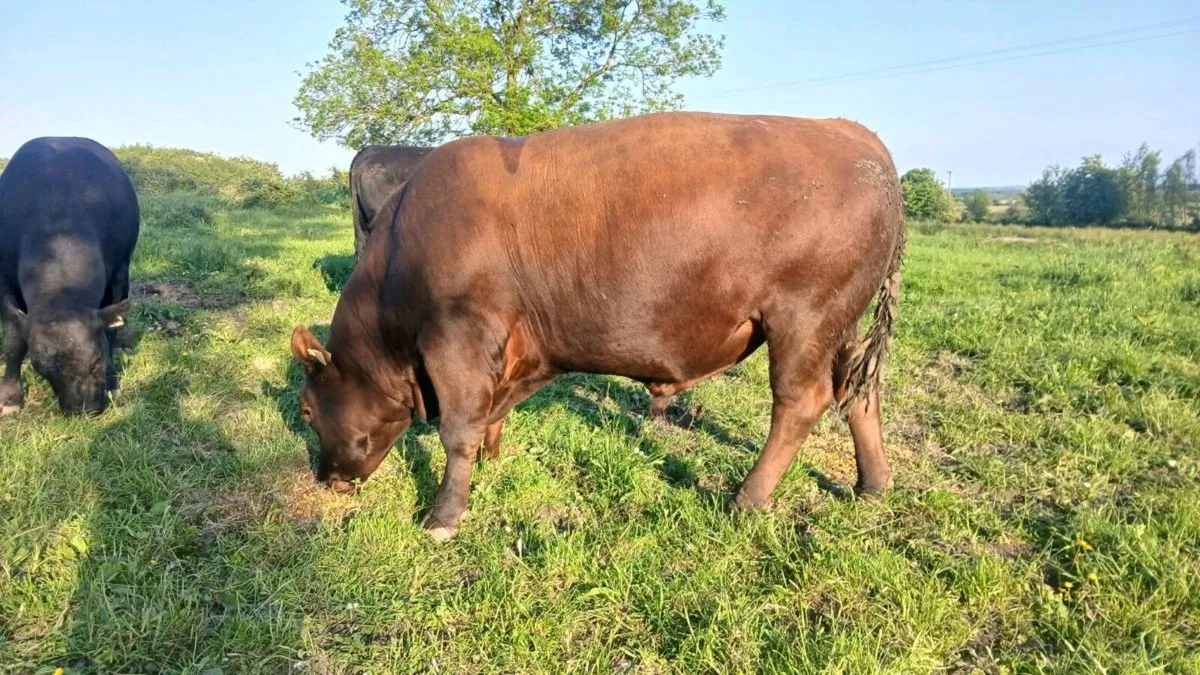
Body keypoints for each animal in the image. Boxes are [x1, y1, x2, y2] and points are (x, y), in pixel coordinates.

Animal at [0, 137, 139, 416]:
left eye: (97, 360)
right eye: (42, 370)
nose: (83, 410)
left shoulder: (118, 270)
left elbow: (110, 330)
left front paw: (112, 380)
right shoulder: (3, 280)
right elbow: (13, 339)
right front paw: (10, 397)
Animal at [291, 112, 906, 542]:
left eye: (307, 411)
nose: (325, 478)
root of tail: (857, 136)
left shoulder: (456, 339)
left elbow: (457, 431)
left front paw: (443, 516)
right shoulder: (514, 349)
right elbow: (492, 413)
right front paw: (493, 458)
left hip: (804, 319)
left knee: (800, 402)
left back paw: (747, 499)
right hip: (841, 327)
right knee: (859, 393)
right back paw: (872, 486)